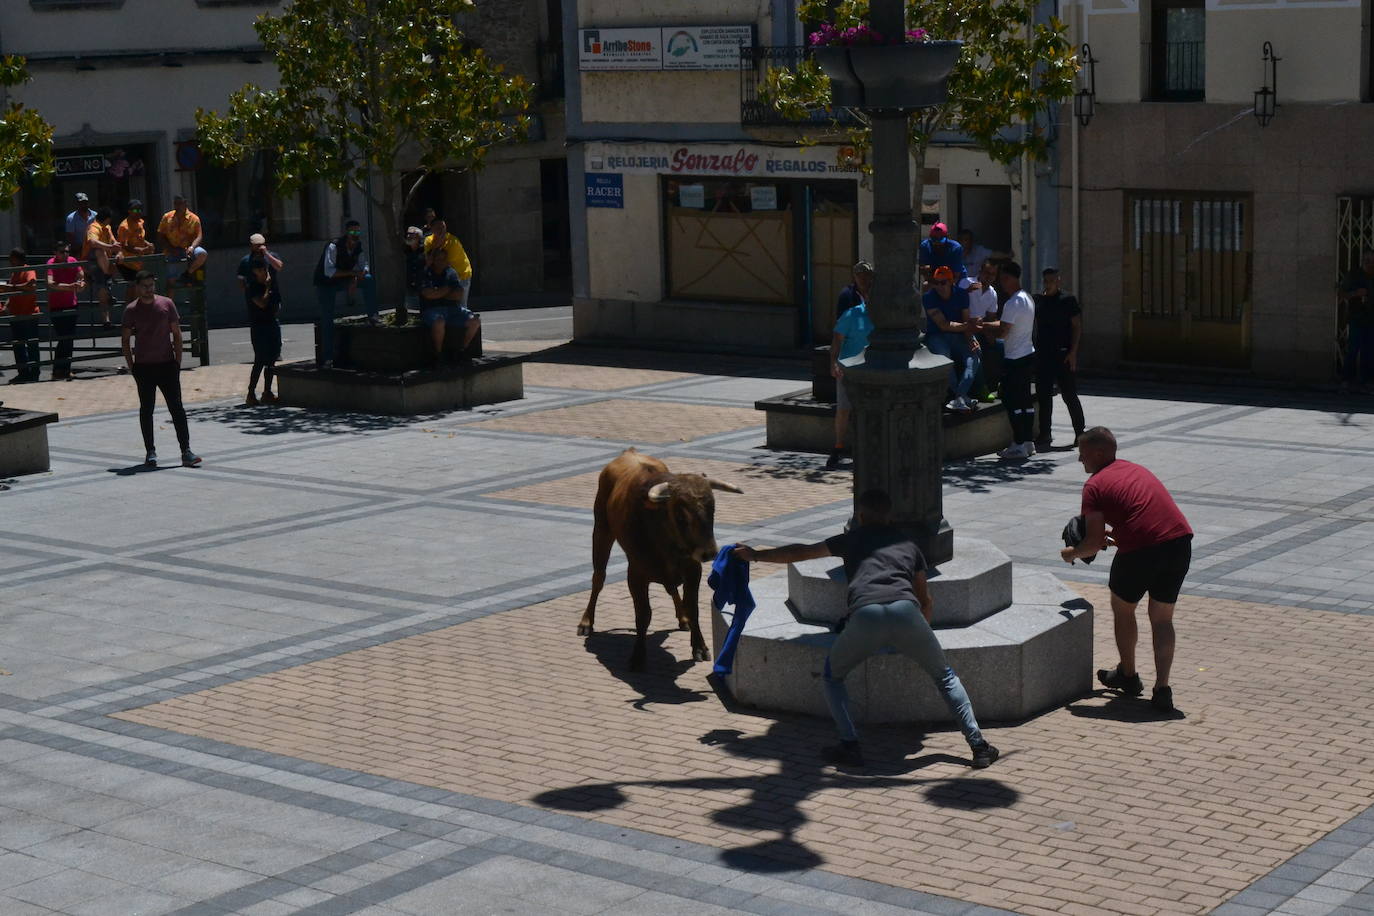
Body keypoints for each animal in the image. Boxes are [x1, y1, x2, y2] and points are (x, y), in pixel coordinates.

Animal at [585, 447, 747, 670]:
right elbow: (643, 614)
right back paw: (586, 622)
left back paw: (683, 619)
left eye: (712, 511)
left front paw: (699, 647)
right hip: (601, 530)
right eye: (681, 516)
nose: (708, 552)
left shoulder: (692, 570)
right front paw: (638, 656)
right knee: (598, 578)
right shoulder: (635, 574)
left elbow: (693, 608)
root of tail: (628, 452)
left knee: (672, 590)